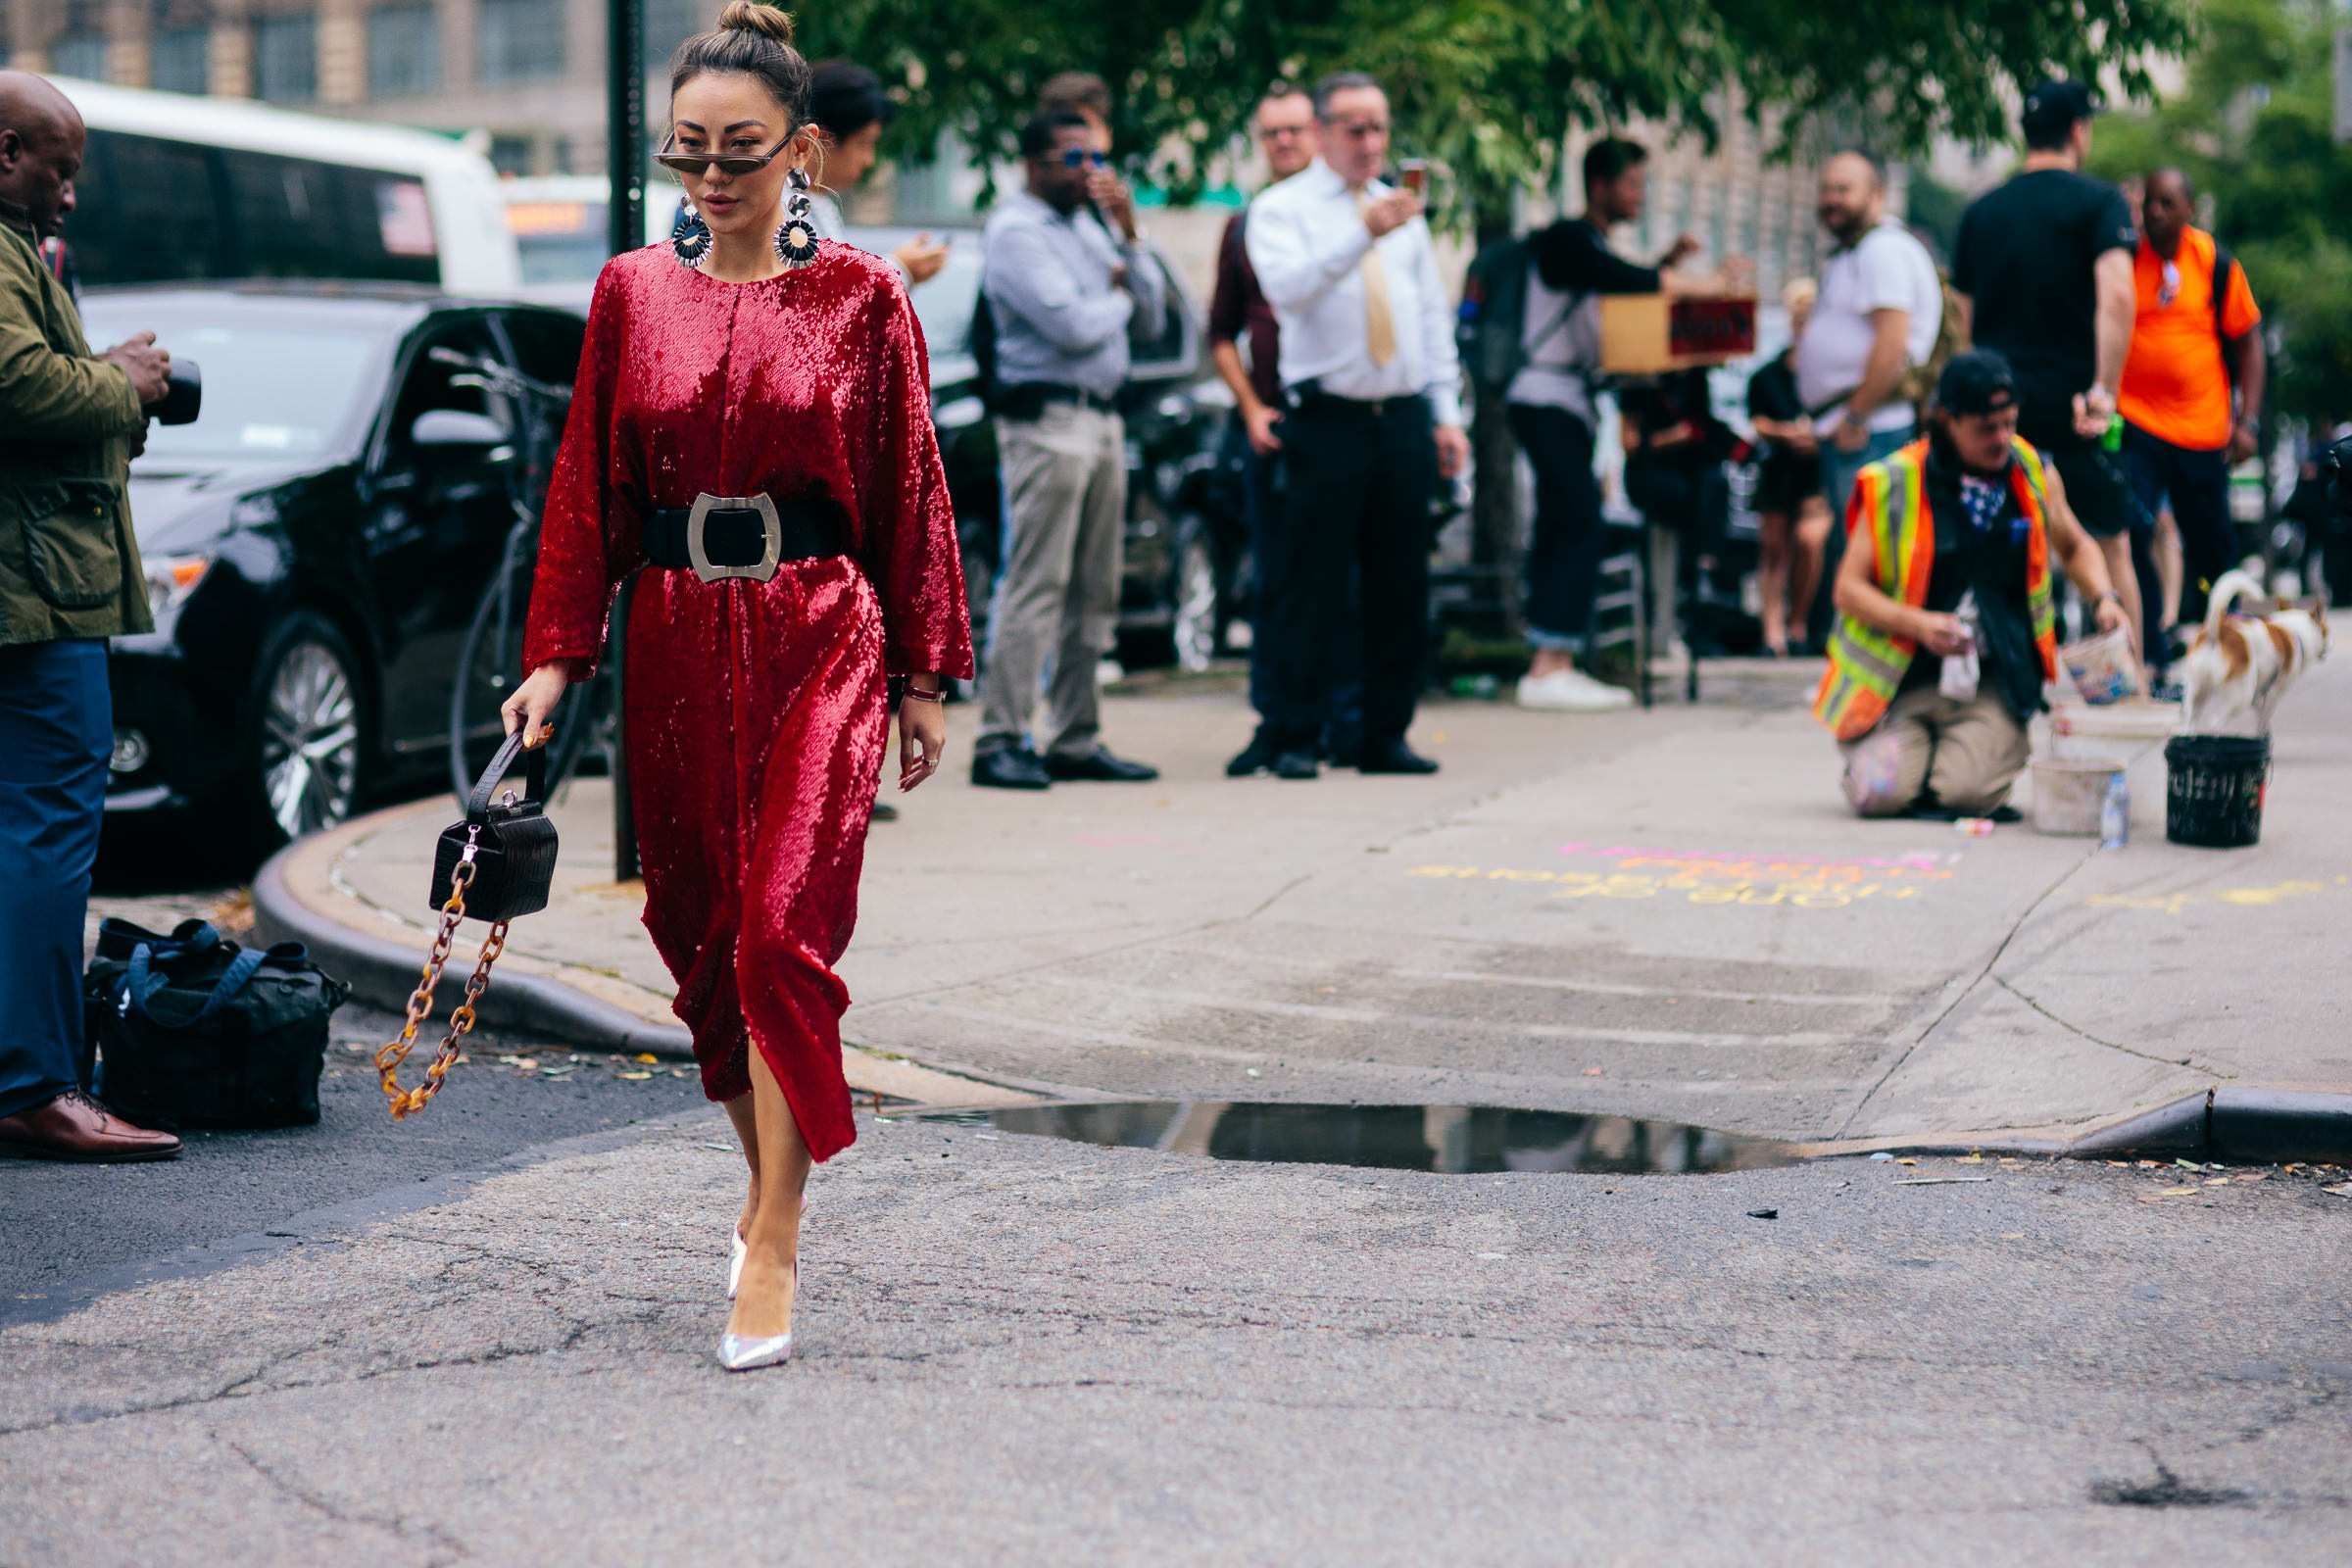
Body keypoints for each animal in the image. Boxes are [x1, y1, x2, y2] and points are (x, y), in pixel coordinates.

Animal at [2173, 570, 2324, 738]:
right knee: (2216, 721)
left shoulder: (2257, 695)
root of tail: (2218, 630)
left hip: (2198, 688)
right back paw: (2216, 733)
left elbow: (2259, 713)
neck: (2293, 631)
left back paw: (2190, 734)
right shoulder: (2273, 692)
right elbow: (2263, 719)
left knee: (2190, 716)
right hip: (2242, 694)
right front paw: (2262, 736)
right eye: (2326, 631)